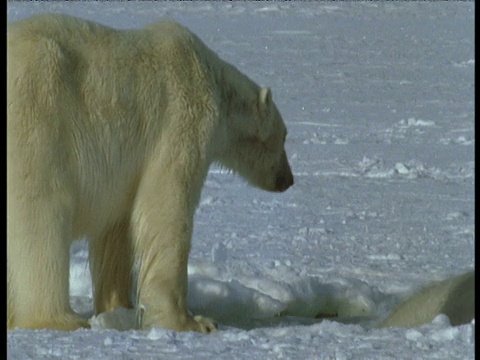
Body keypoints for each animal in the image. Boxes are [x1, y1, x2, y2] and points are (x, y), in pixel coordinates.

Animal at [6, 14, 292, 334]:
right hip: (39, 113)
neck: (214, 84)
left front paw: (119, 307)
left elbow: (116, 228)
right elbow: (165, 208)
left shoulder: (123, 169)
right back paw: (59, 319)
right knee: (43, 212)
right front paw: (192, 322)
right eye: (284, 136)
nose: (288, 179)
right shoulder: (183, 121)